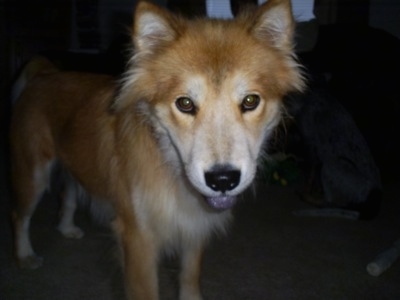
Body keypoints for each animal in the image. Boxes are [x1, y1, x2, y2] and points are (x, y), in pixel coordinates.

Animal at [10, 1, 304, 298]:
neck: (170, 170)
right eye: (184, 103)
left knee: (66, 193)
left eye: (251, 101)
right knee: (19, 216)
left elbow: (189, 278)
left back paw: (67, 228)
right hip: (33, 175)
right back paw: (25, 256)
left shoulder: (194, 227)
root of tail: (45, 73)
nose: (223, 180)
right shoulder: (138, 240)